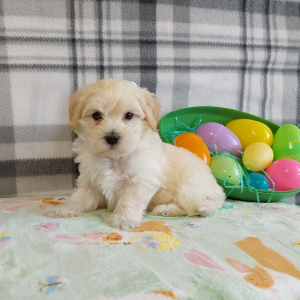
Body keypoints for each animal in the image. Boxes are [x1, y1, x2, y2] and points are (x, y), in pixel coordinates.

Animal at [45, 78, 225, 230]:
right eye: (96, 115)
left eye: (129, 115)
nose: (112, 137)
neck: (114, 159)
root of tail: (218, 190)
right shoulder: (90, 180)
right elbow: (80, 196)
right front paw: (65, 209)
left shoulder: (141, 181)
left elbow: (129, 200)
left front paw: (123, 219)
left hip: (190, 188)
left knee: (199, 207)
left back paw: (168, 208)